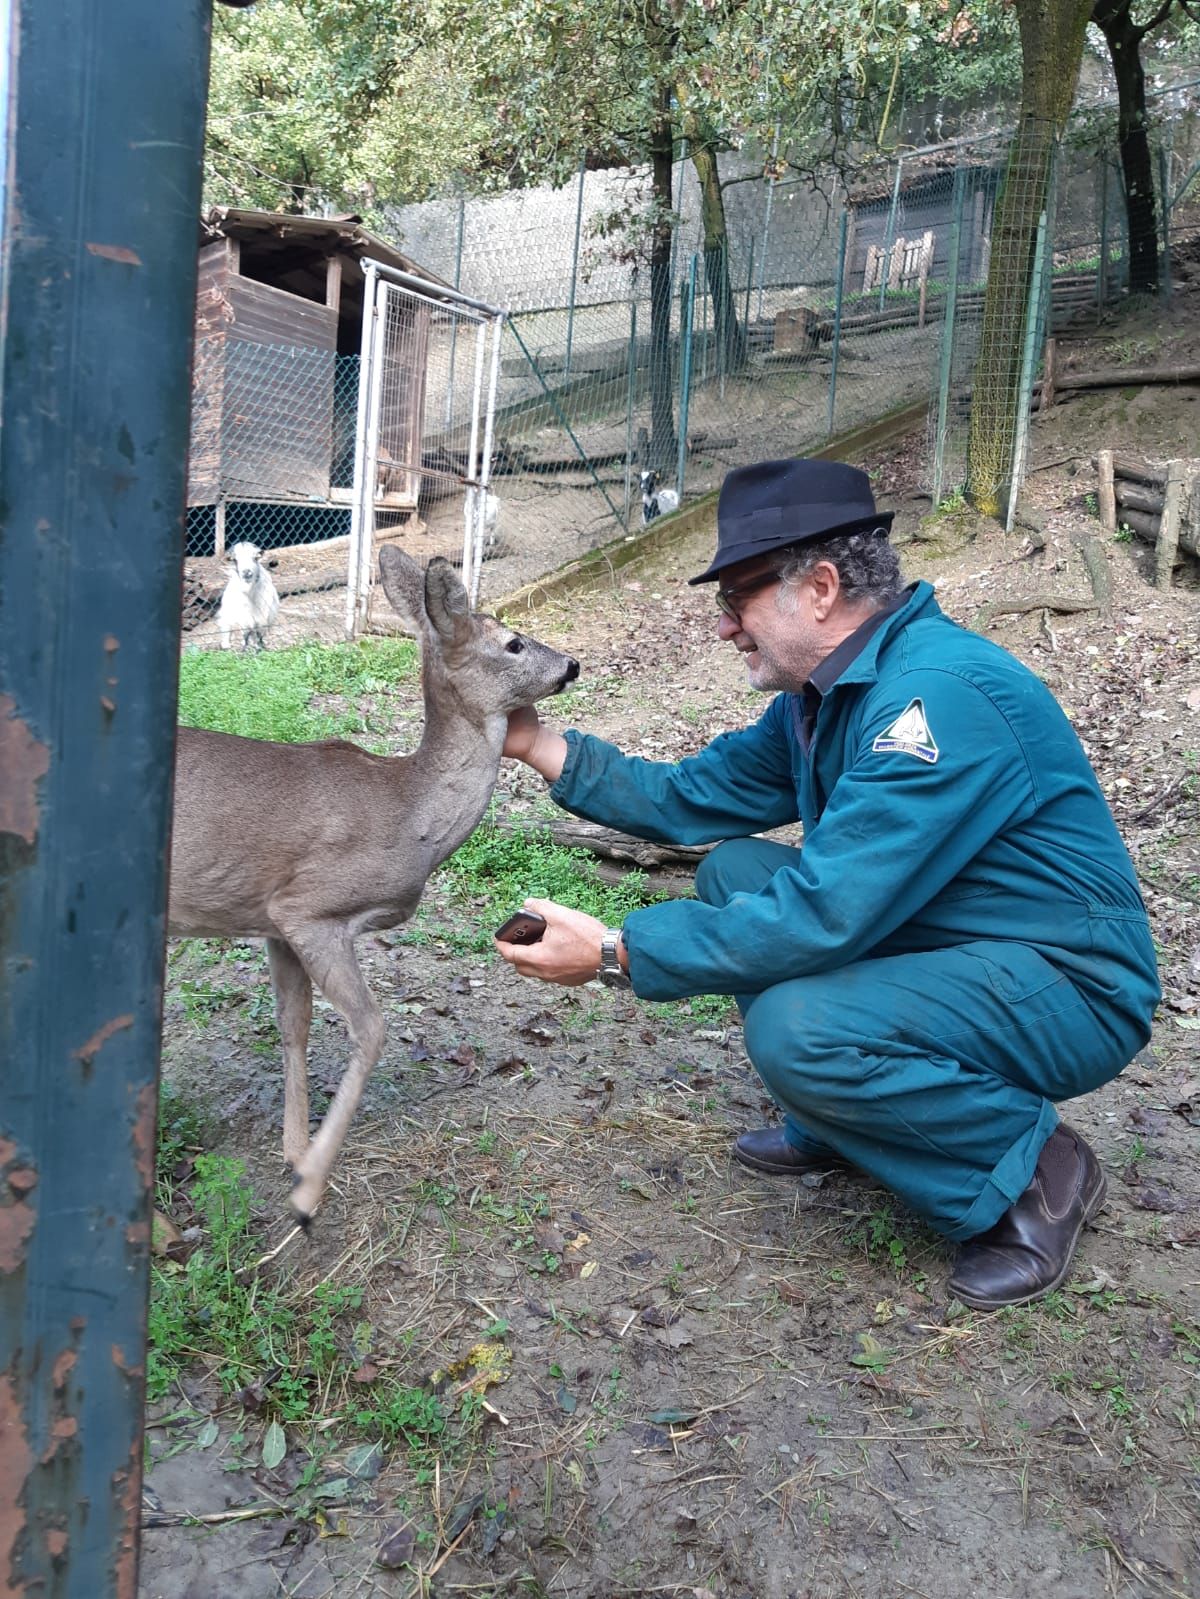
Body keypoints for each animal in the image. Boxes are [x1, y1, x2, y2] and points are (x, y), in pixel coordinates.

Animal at [171, 543, 579, 1215]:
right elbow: (371, 1028)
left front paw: (294, 1152)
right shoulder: (308, 908)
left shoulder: (273, 923)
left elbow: (294, 1026)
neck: (409, 817)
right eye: (514, 643)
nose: (572, 663)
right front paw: (309, 1185)